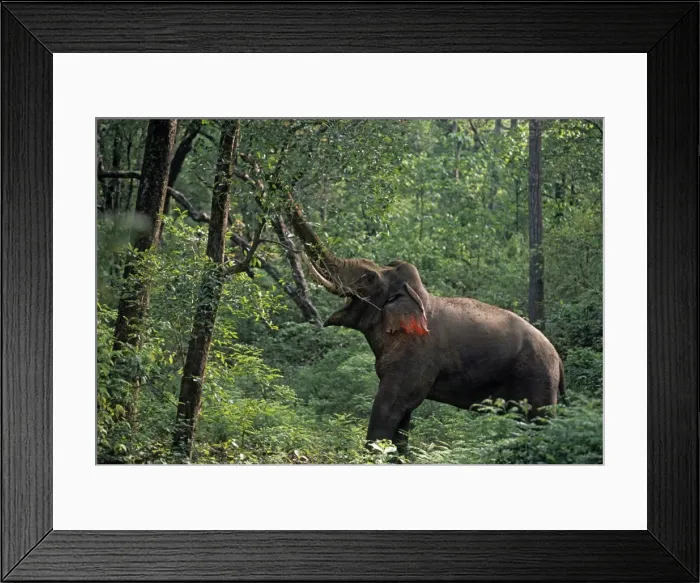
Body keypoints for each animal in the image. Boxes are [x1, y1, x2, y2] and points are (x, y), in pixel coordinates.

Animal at [286, 196, 565, 456]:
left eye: (369, 278)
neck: (418, 297)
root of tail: (559, 359)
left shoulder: (417, 358)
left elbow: (390, 406)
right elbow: (403, 416)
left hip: (537, 378)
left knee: (537, 422)